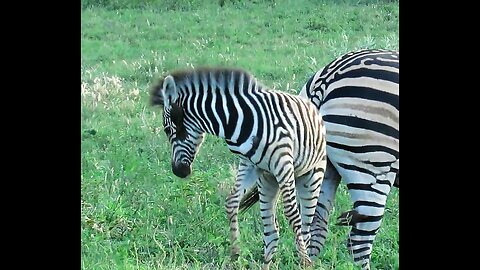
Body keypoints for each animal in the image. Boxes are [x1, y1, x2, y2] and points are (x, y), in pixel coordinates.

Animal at [150, 66, 328, 268]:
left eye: (167, 130)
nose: (178, 172)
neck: (235, 120)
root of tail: (311, 107)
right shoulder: (250, 164)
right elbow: (231, 201)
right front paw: (235, 252)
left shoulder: (283, 163)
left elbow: (292, 214)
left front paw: (304, 260)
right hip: (268, 181)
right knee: (272, 231)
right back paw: (266, 263)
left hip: (310, 176)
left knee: (305, 223)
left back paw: (306, 259)